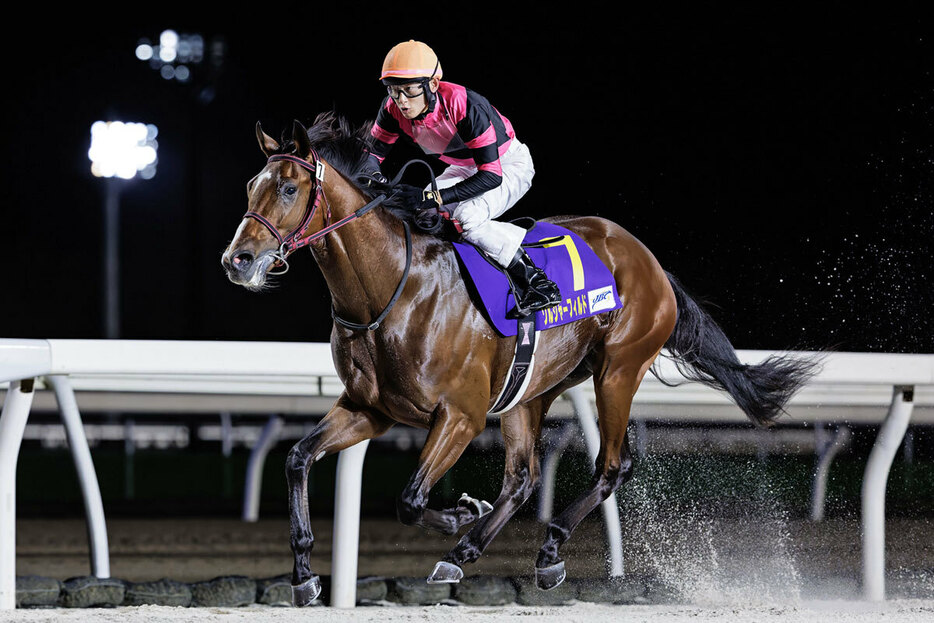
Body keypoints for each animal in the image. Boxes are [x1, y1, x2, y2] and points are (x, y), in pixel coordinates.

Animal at [221, 111, 820, 604]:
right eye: (252, 186)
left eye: (290, 187)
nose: (238, 260)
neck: (391, 288)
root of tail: (648, 260)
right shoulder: (371, 409)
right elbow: (297, 459)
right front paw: (303, 575)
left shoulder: (459, 416)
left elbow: (410, 499)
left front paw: (461, 511)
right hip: (529, 392)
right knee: (522, 477)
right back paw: (466, 554)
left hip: (617, 371)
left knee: (612, 465)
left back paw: (547, 549)